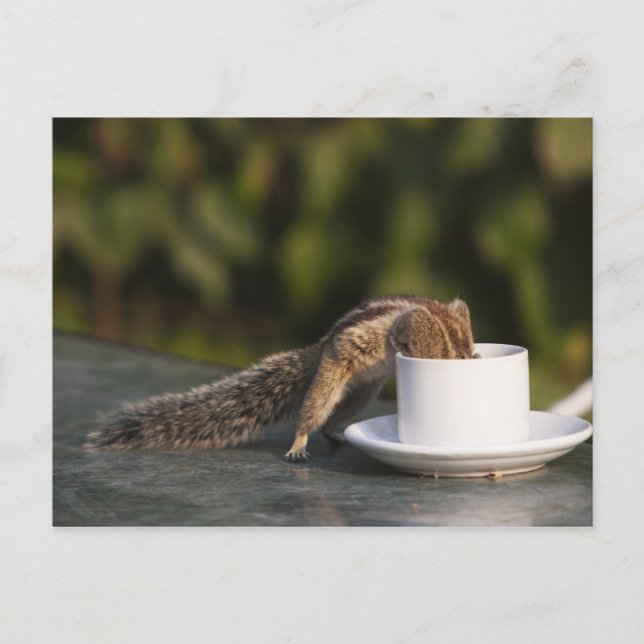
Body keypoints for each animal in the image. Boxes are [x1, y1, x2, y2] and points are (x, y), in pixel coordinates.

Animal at [85, 295, 476, 462]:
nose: (470, 358)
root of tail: (320, 348)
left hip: (361, 392)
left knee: (333, 419)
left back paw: (335, 434)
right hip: (333, 375)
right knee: (313, 412)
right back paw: (298, 445)